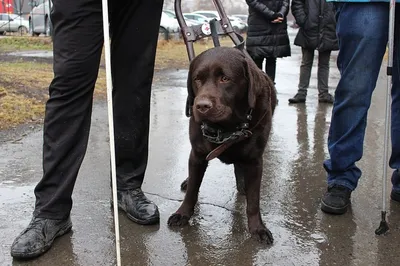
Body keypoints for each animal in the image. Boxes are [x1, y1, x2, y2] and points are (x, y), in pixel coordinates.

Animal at [167, 46, 276, 243]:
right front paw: (183, 213)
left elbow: (253, 200)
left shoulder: (255, 161)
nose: (202, 106)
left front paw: (258, 228)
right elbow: (192, 190)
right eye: (197, 79)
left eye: (225, 78)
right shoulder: (197, 155)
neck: (227, 129)